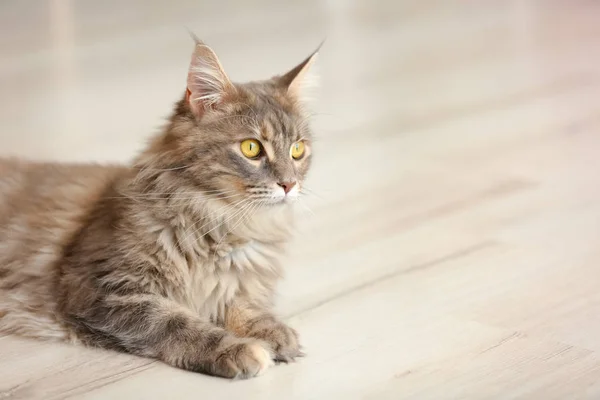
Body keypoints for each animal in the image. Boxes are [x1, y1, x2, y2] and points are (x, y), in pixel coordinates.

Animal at [0, 39, 318, 380]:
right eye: (251, 148)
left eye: (298, 150)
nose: (289, 184)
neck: (220, 223)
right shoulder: (102, 288)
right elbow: (175, 322)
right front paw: (237, 349)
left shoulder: (232, 284)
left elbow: (239, 305)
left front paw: (273, 331)